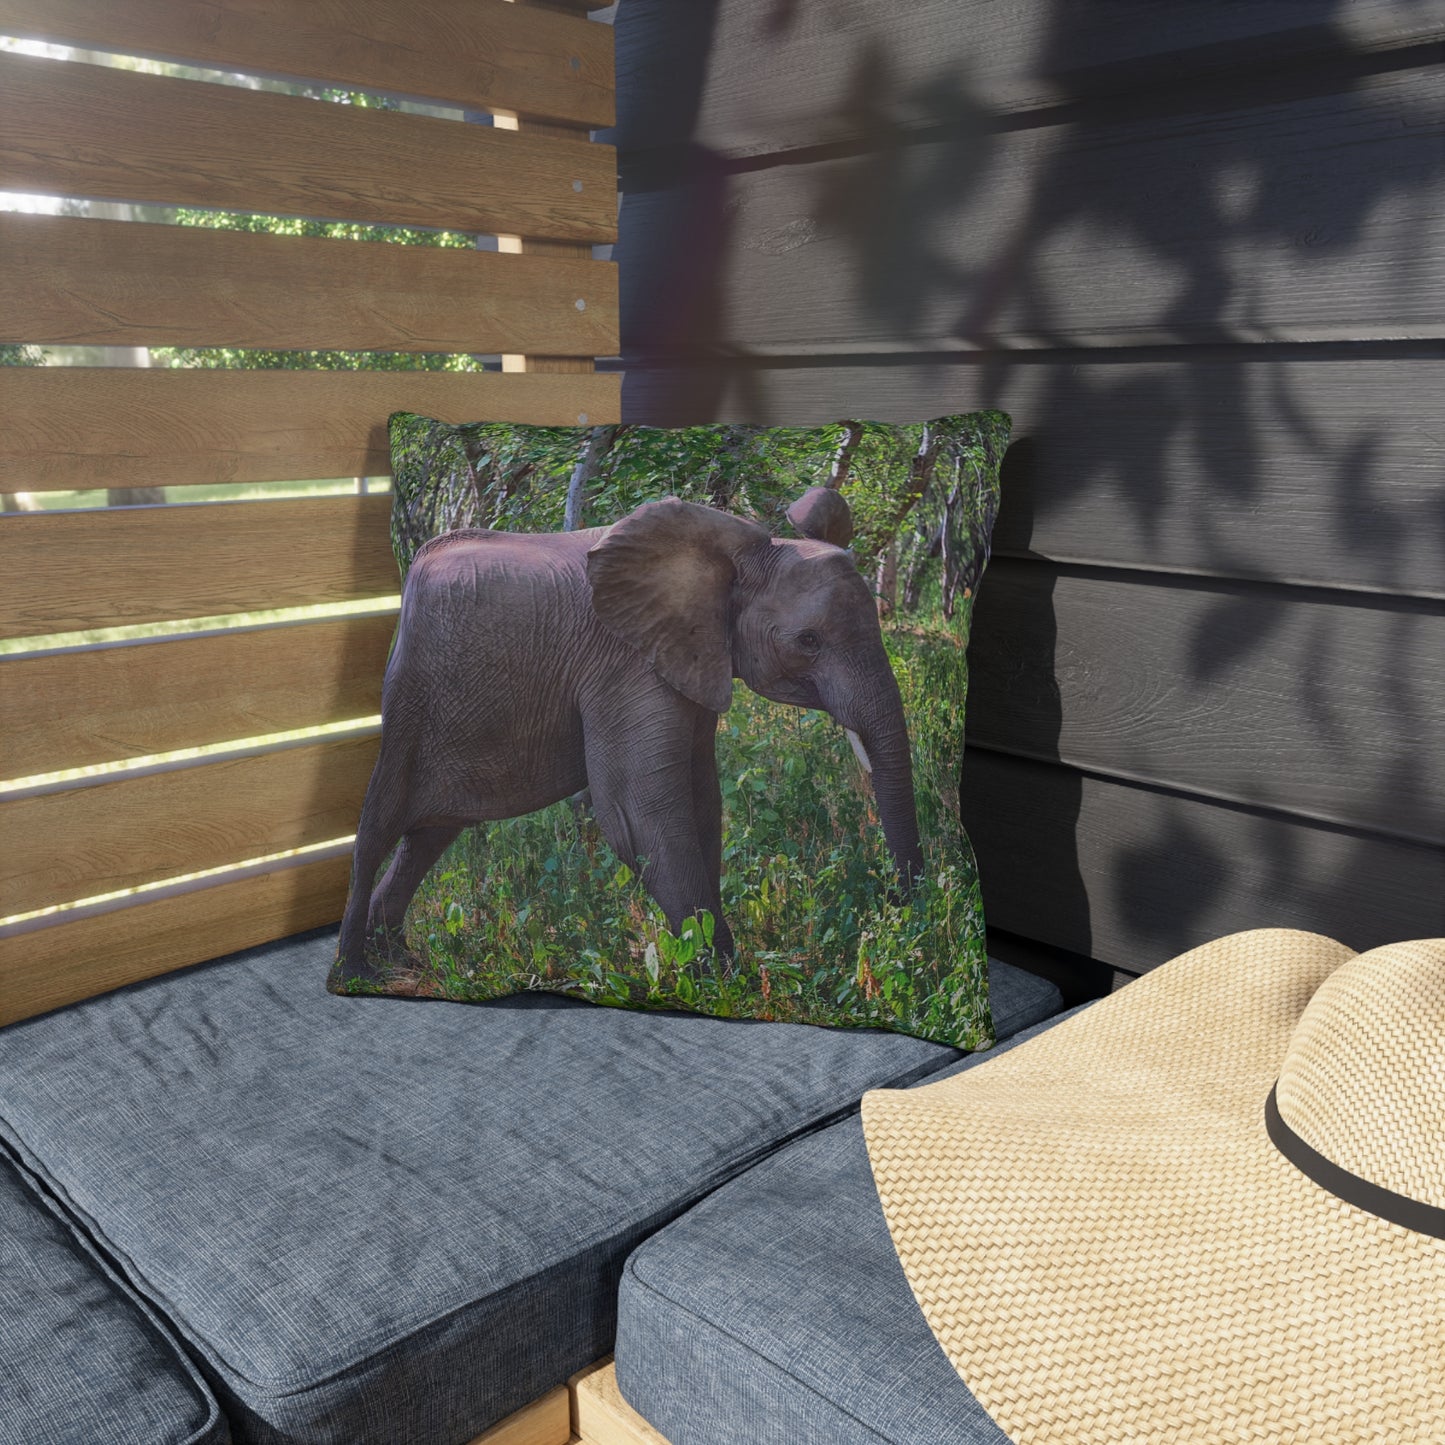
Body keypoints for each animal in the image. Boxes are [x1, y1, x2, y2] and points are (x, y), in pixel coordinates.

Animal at [334, 486, 923, 982]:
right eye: (808, 641)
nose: (899, 912)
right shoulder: (625, 663)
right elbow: (639, 811)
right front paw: (721, 979)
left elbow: (702, 803)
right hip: (411, 699)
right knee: (377, 832)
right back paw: (356, 973)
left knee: (430, 836)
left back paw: (397, 958)